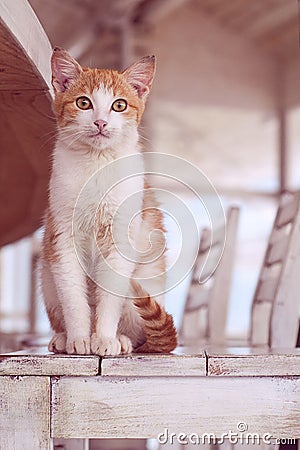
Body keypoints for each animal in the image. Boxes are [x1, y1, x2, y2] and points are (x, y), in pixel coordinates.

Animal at [41, 48, 178, 356]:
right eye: (83, 102)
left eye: (119, 105)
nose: (101, 122)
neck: (96, 165)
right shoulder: (62, 237)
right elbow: (73, 296)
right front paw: (79, 337)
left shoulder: (120, 240)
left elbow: (109, 298)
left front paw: (103, 338)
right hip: (47, 278)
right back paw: (61, 337)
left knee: (138, 331)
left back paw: (123, 339)